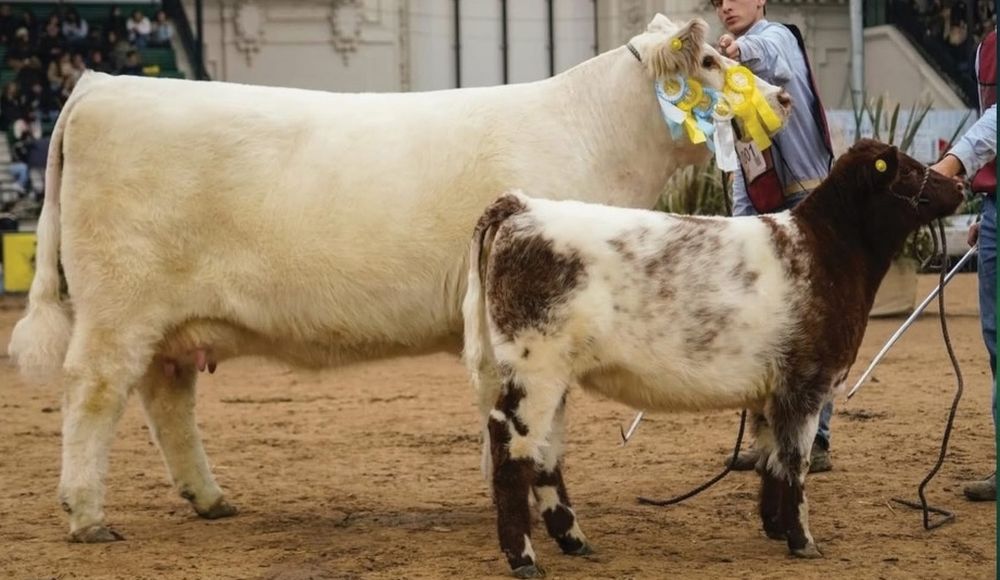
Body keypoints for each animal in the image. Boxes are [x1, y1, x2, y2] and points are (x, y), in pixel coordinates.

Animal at [7, 14, 790, 543]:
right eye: (713, 61)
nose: (782, 97)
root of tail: (101, 84)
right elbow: (540, 418)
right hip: (118, 306)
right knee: (94, 393)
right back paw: (86, 514)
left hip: (169, 320)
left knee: (167, 398)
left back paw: (209, 497)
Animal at [461, 139, 964, 578]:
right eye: (910, 170)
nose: (960, 185)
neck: (829, 253)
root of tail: (523, 206)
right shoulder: (806, 381)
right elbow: (796, 462)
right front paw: (803, 541)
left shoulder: (771, 390)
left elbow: (770, 459)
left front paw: (775, 527)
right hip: (535, 366)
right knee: (511, 447)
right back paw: (524, 558)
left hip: (553, 374)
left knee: (545, 454)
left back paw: (575, 541)